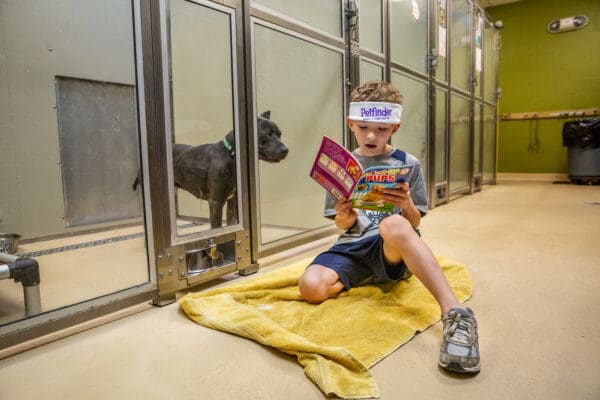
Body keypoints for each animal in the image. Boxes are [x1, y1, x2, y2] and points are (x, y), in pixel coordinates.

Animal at [135, 111, 288, 228]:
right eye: (269, 134)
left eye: (280, 134)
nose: (286, 150)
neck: (231, 155)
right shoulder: (216, 202)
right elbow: (217, 229)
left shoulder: (233, 202)